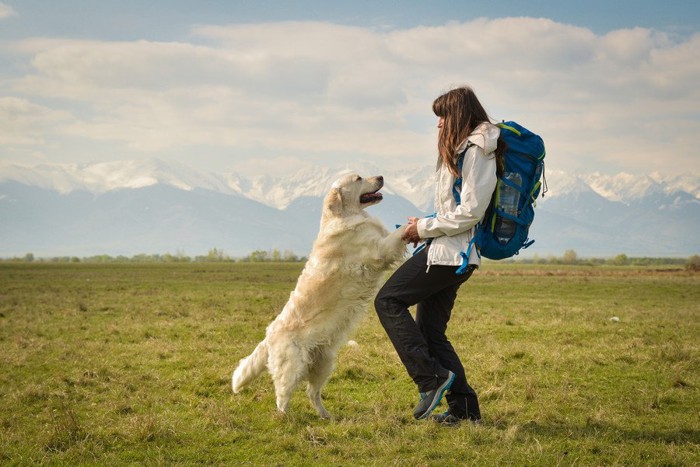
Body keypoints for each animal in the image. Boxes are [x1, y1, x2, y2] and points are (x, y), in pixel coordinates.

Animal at [231, 174, 404, 418]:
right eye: (358, 178)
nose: (380, 176)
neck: (345, 216)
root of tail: (269, 334)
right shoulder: (379, 249)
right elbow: (398, 234)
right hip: (291, 367)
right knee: (282, 395)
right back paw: (285, 417)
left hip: (323, 363)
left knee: (312, 393)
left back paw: (326, 415)